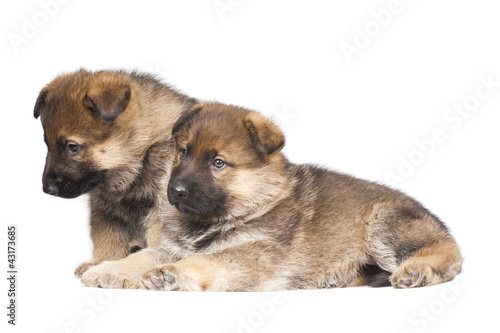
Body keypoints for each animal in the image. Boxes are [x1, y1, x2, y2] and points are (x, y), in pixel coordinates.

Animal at [33, 68, 196, 286]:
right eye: (47, 144)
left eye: (72, 147)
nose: (47, 189)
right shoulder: (105, 209)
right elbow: (108, 239)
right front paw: (101, 262)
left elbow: (152, 255)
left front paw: (112, 271)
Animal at [142, 102, 464, 290]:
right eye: (183, 152)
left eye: (218, 163)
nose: (175, 190)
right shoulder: (169, 247)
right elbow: (142, 259)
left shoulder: (251, 255)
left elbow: (203, 262)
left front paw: (170, 274)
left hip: (383, 221)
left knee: (448, 252)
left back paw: (417, 270)